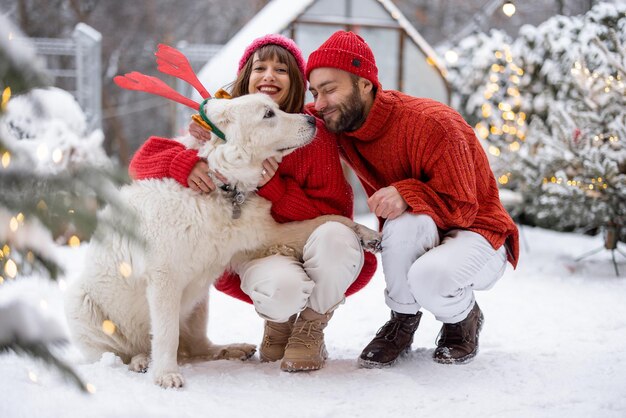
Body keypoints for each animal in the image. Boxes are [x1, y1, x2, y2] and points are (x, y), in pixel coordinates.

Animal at [63, 94, 378, 388]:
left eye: (277, 108)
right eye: (268, 114)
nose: (313, 120)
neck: (222, 188)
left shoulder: (263, 235)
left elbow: (331, 219)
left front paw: (367, 234)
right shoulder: (164, 277)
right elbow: (165, 334)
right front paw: (165, 375)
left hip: (198, 303)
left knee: (199, 347)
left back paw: (231, 349)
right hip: (83, 306)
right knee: (121, 354)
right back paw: (141, 360)